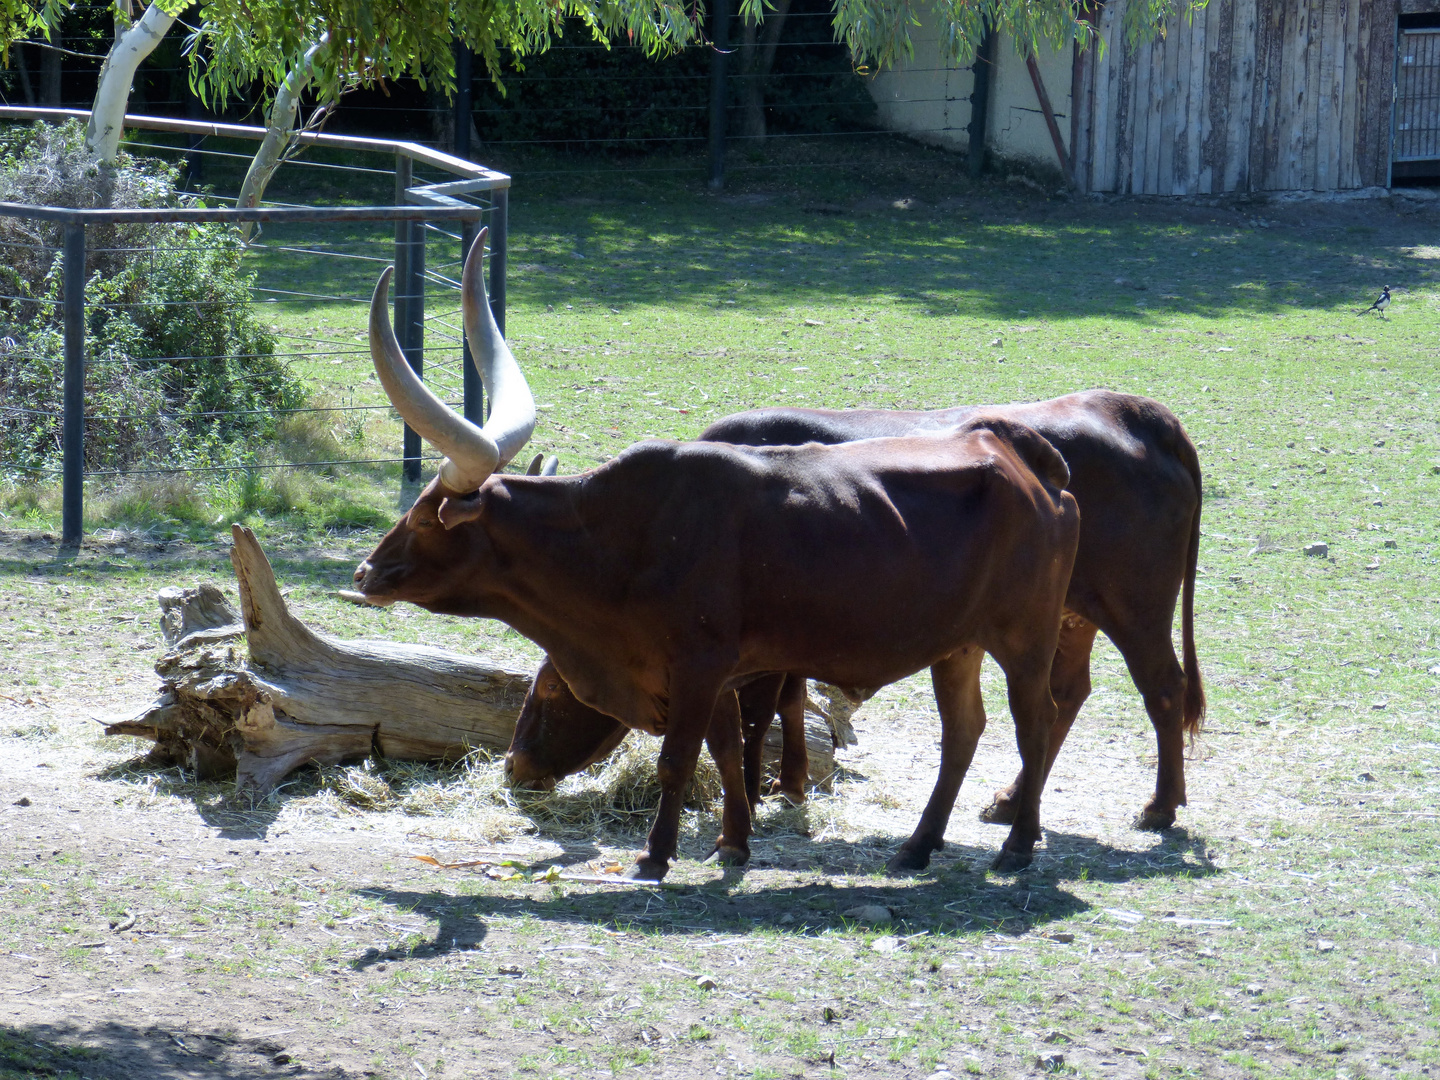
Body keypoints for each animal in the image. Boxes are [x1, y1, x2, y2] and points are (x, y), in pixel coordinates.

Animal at [351, 233, 1082, 881]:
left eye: (426, 516)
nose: (366, 572)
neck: (621, 539)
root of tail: (1024, 460)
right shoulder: (725, 675)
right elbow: (728, 753)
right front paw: (733, 844)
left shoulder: (699, 666)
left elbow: (680, 758)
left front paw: (656, 856)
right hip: (958, 644)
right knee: (963, 732)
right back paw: (917, 848)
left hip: (1025, 634)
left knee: (1037, 720)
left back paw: (1017, 847)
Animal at [501, 388, 1198, 829]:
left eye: (554, 691)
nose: (515, 767)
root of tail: (1137, 412)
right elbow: (787, 700)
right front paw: (788, 784)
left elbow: (762, 708)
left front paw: (757, 794)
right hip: (1070, 617)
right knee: (1068, 693)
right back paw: (1010, 799)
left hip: (1135, 606)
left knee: (1162, 688)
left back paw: (1161, 806)